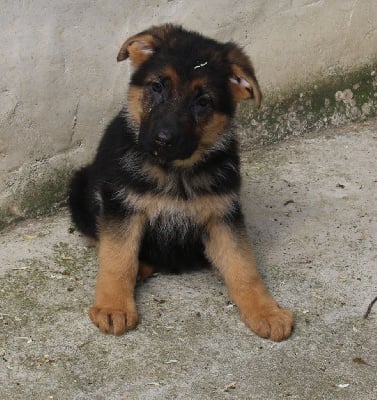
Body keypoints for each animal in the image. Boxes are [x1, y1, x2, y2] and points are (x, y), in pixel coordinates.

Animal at [70, 23, 294, 340]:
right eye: (157, 87)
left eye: (203, 102)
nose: (163, 140)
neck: (176, 172)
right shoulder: (123, 206)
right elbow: (118, 259)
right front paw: (113, 306)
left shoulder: (223, 214)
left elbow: (243, 267)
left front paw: (267, 311)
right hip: (80, 188)